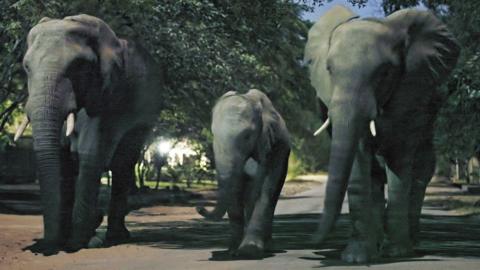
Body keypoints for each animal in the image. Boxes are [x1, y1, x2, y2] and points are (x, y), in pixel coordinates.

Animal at [15, 14, 165, 255]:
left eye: (77, 67)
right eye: (26, 68)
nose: (45, 247)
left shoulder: (110, 92)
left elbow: (90, 152)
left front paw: (76, 243)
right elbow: (62, 157)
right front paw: (61, 241)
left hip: (145, 118)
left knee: (123, 163)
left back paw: (114, 237)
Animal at [195, 89, 288, 258]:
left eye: (247, 136)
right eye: (213, 134)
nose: (199, 207)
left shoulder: (271, 144)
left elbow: (263, 186)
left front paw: (249, 251)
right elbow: (235, 189)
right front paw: (232, 251)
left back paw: (265, 247)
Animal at [306, 5, 460, 262]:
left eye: (384, 73)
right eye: (329, 70)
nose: (312, 245)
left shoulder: (409, 92)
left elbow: (399, 158)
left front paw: (398, 253)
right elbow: (359, 162)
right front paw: (355, 258)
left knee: (418, 179)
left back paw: (410, 244)